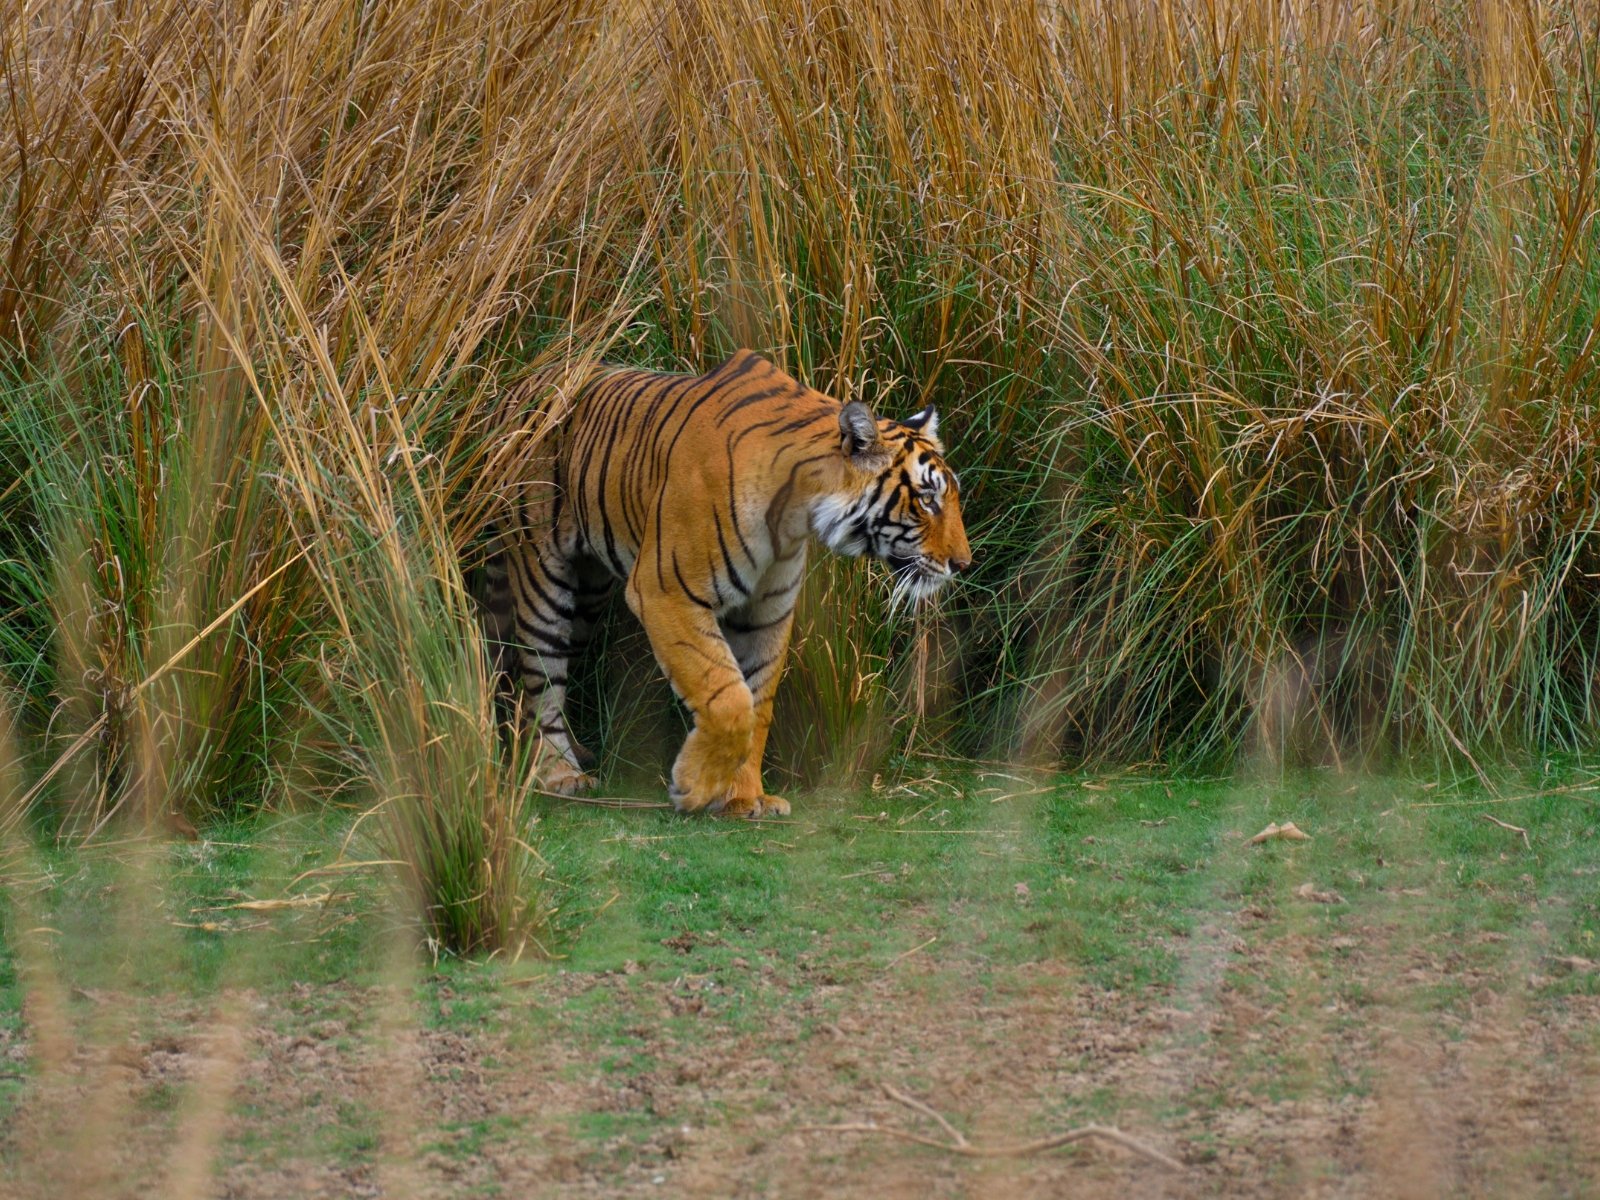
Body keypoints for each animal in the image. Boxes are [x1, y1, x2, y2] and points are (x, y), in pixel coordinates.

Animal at [481, 349, 971, 818]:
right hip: (543, 578)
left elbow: (758, 705)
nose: (963, 564)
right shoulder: (665, 591)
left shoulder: (768, 611)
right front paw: (696, 786)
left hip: (588, 596)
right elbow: (727, 697)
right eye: (927, 500)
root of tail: (520, 382)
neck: (795, 514)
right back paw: (558, 772)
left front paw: (746, 797)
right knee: (539, 680)